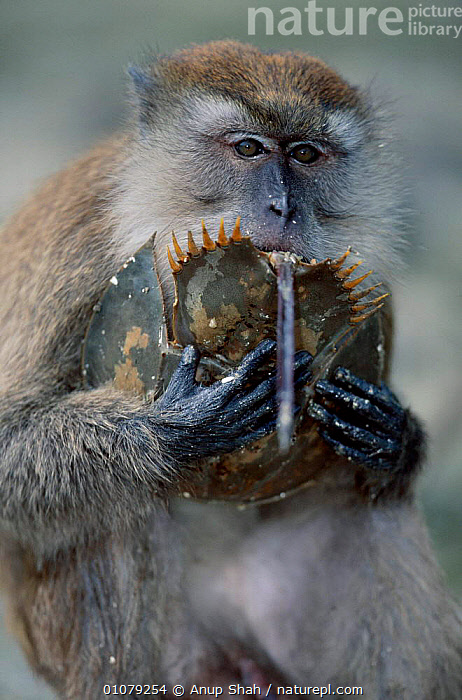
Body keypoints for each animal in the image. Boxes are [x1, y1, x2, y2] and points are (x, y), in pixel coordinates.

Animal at [0, 40, 461, 699]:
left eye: (305, 154)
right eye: (247, 148)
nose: (283, 207)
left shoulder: (370, 283)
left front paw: (395, 438)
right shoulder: (78, 250)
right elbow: (11, 447)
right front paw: (181, 429)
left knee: (372, 510)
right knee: (118, 507)